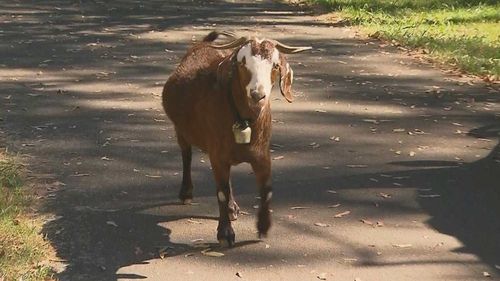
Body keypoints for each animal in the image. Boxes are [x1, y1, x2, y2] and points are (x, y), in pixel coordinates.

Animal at [162, 30, 310, 245]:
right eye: (242, 63)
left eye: (275, 66)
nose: (257, 94)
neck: (243, 118)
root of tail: (201, 45)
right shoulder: (217, 154)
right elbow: (221, 192)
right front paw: (225, 233)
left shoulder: (261, 155)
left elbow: (266, 190)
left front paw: (263, 226)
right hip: (181, 130)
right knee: (186, 156)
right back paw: (186, 193)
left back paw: (233, 209)